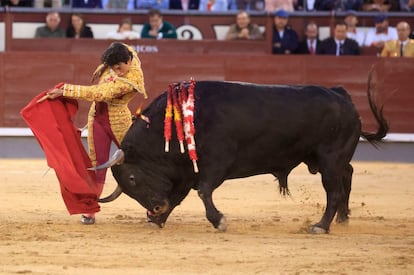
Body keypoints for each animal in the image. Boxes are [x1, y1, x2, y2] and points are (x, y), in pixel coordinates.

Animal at [98, 80, 388, 235]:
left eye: (132, 178)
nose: (155, 209)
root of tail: (341, 94)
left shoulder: (215, 164)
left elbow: (203, 191)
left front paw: (219, 221)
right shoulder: (186, 171)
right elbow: (179, 195)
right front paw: (159, 220)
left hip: (329, 159)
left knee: (334, 191)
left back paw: (321, 225)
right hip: (330, 159)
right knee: (347, 176)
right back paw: (343, 219)